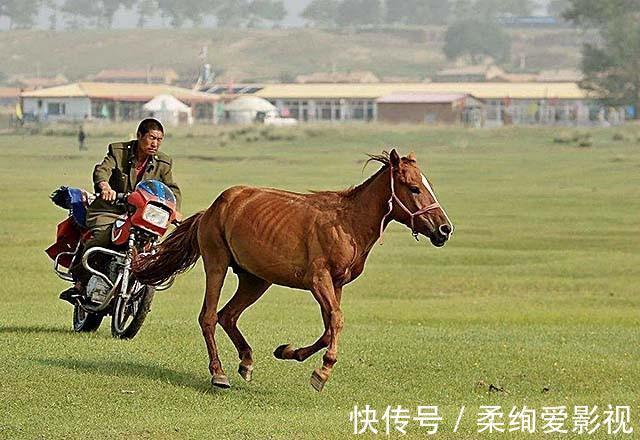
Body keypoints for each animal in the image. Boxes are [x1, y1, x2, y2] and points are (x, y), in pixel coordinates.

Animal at [133, 149, 453, 391]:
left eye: (428, 186)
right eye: (414, 188)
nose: (445, 229)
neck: (347, 223)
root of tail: (212, 209)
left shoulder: (336, 284)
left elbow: (328, 328)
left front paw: (288, 351)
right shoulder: (319, 280)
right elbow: (336, 321)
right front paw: (321, 373)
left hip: (256, 279)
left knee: (228, 315)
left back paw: (246, 361)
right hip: (217, 264)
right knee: (209, 317)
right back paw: (218, 373)